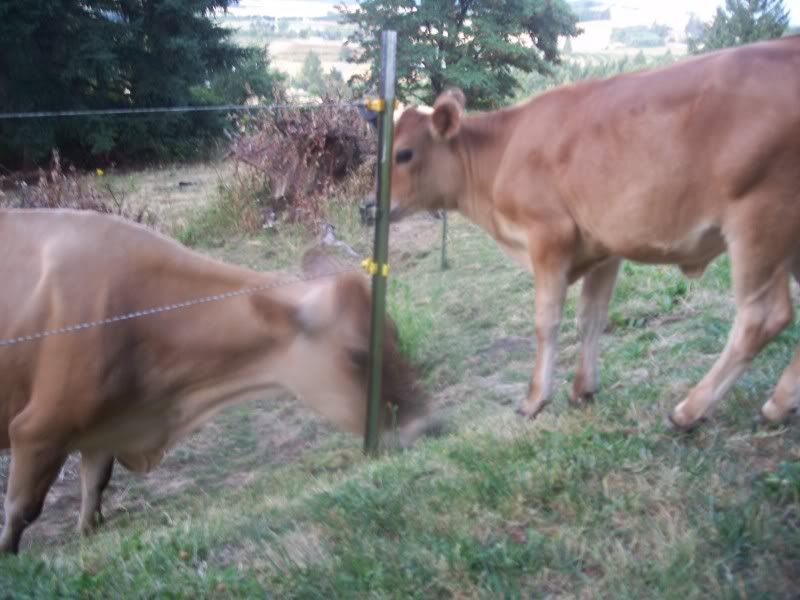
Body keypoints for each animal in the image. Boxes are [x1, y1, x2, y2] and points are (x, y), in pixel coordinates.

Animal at [0, 208, 438, 554]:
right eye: (358, 355)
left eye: (395, 333)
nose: (428, 425)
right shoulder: (37, 430)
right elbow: (21, 510)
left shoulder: (102, 428)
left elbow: (94, 489)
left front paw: (87, 532)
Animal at [385, 36, 800, 431]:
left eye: (404, 153)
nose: (372, 204)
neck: (502, 153)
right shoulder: (603, 245)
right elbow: (590, 317)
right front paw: (583, 389)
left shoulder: (548, 237)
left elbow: (546, 321)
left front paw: (535, 399)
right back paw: (778, 405)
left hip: (759, 221)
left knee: (761, 317)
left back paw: (690, 410)